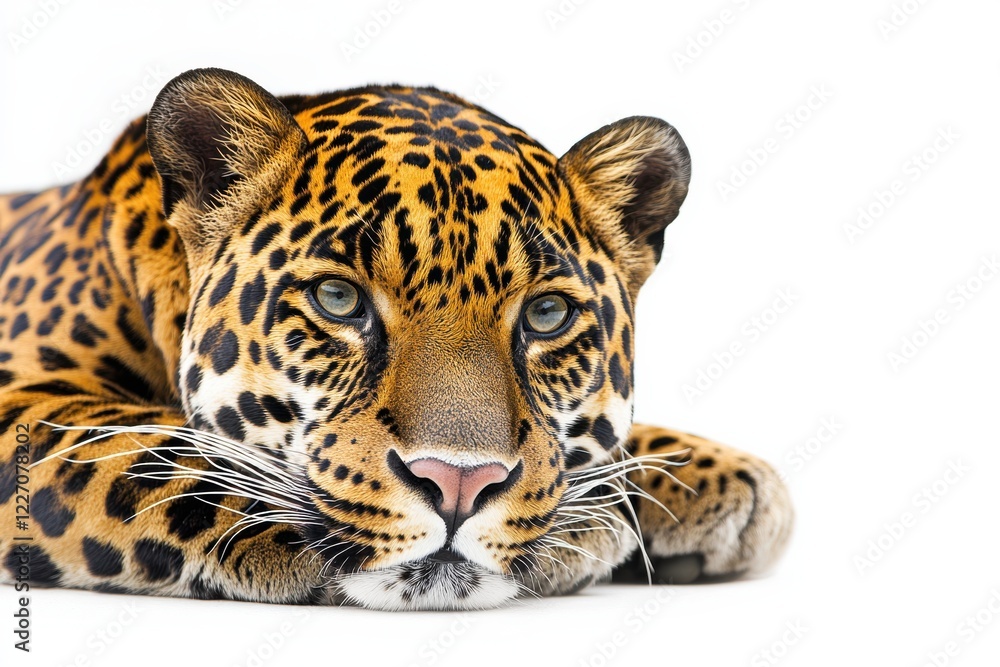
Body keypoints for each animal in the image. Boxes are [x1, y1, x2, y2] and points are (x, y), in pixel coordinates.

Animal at [0, 68, 792, 611]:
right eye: (338, 299)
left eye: (545, 316)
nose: (459, 483)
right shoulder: (26, 396)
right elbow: (148, 448)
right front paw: (593, 521)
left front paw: (709, 477)